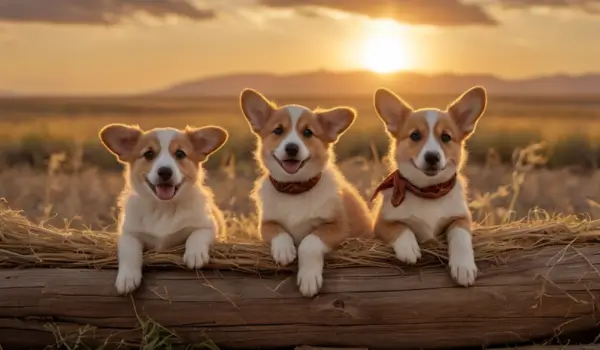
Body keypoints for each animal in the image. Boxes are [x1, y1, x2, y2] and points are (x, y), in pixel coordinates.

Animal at [99, 124, 229, 294]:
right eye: (149, 154)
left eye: (180, 153)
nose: (165, 171)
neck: (163, 208)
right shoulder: (128, 233)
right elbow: (129, 251)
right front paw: (127, 278)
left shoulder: (209, 226)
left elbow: (197, 235)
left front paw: (195, 254)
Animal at [238, 89, 370, 296]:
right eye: (278, 130)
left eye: (308, 132)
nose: (292, 148)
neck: (295, 190)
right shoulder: (265, 223)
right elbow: (278, 231)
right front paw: (284, 251)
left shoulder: (338, 226)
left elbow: (310, 242)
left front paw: (308, 279)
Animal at [370, 85, 488, 288]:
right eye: (415, 135)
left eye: (446, 137)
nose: (432, 157)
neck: (428, 191)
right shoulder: (380, 223)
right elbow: (400, 228)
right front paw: (408, 248)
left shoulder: (462, 218)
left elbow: (460, 236)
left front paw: (463, 266)